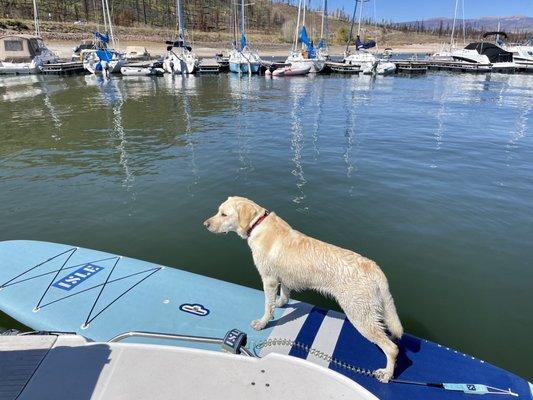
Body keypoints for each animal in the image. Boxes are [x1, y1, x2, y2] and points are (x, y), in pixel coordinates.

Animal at [202, 196, 402, 382]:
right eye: (218, 211)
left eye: (224, 214)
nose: (205, 224)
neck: (258, 224)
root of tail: (375, 269)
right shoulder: (284, 277)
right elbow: (284, 294)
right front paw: (281, 303)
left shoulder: (269, 279)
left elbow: (267, 304)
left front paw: (263, 322)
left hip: (360, 315)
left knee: (392, 349)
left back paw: (386, 373)